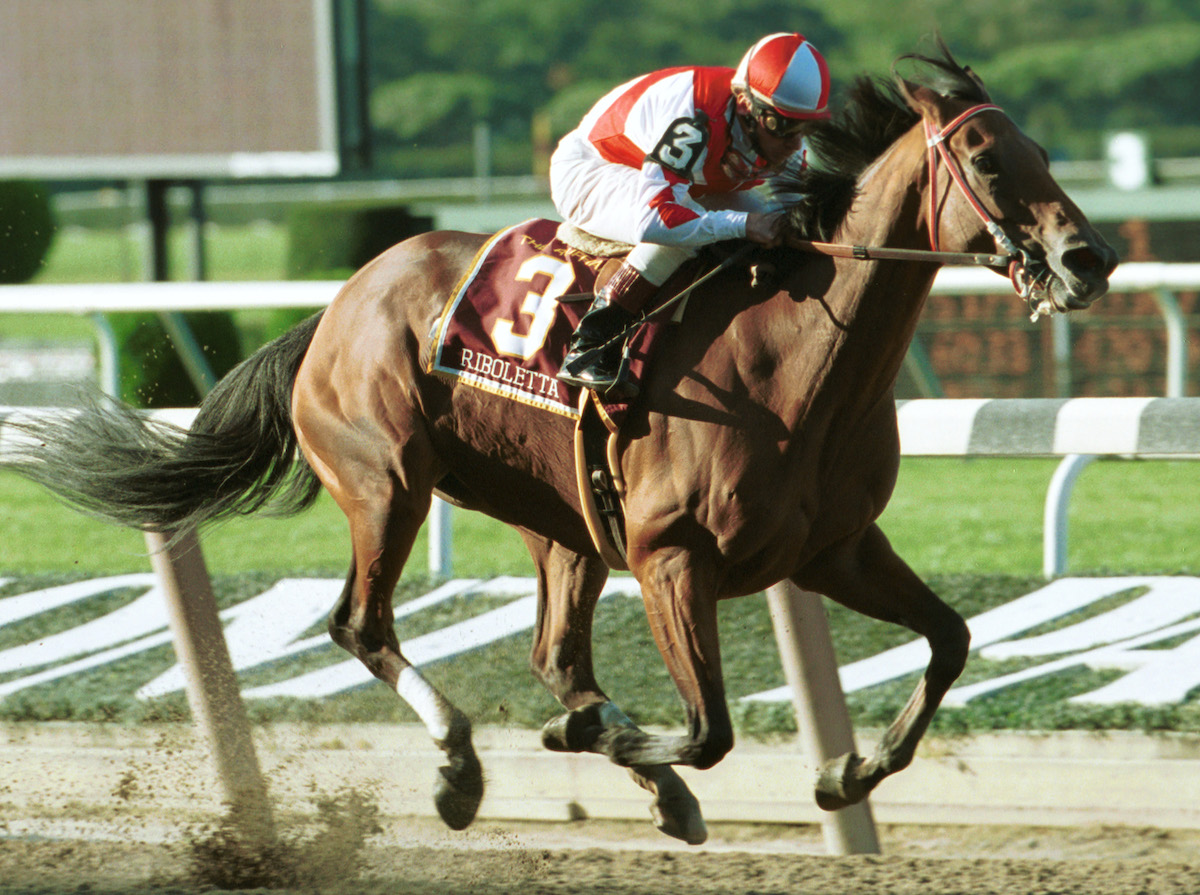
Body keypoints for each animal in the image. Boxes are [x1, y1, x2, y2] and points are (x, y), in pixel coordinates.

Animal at [11, 43, 1113, 844]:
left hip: (561, 522)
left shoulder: (835, 548)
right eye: (987, 159)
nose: (1087, 257)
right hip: (388, 481)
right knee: (364, 624)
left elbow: (952, 637)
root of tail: (334, 308)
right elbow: (709, 729)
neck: (796, 357)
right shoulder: (673, 557)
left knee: (553, 652)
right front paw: (649, 749)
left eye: (1045, 152)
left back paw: (613, 753)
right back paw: (463, 768)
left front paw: (850, 769)